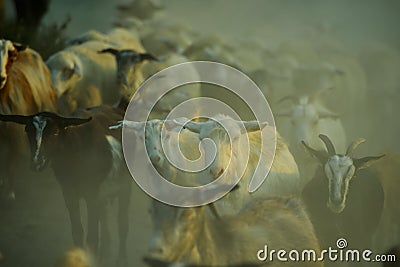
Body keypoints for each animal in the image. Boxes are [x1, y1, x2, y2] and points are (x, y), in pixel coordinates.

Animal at [0, 106, 131, 264]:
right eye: (27, 130)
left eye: (55, 131)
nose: (37, 162)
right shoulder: (69, 193)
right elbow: (77, 232)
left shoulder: (92, 194)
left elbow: (92, 236)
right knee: (104, 216)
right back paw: (105, 250)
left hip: (125, 186)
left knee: (122, 222)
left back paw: (121, 259)